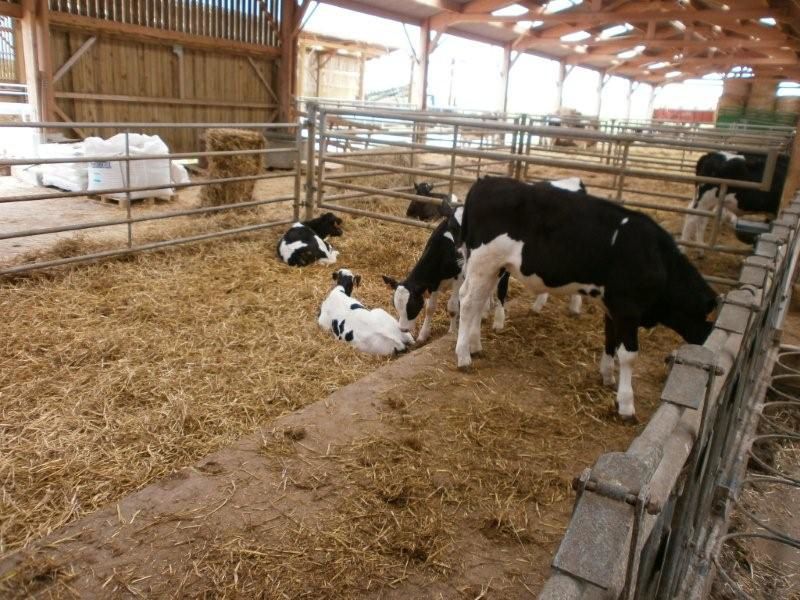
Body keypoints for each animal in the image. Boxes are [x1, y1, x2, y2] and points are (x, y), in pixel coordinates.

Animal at [456, 177, 720, 422]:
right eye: (709, 329)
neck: (657, 258)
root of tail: (485, 182)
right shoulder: (627, 309)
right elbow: (629, 355)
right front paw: (626, 404)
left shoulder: (611, 307)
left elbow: (609, 340)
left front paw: (607, 376)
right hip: (484, 262)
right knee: (469, 303)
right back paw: (463, 357)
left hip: (491, 267)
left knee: (476, 301)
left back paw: (474, 346)